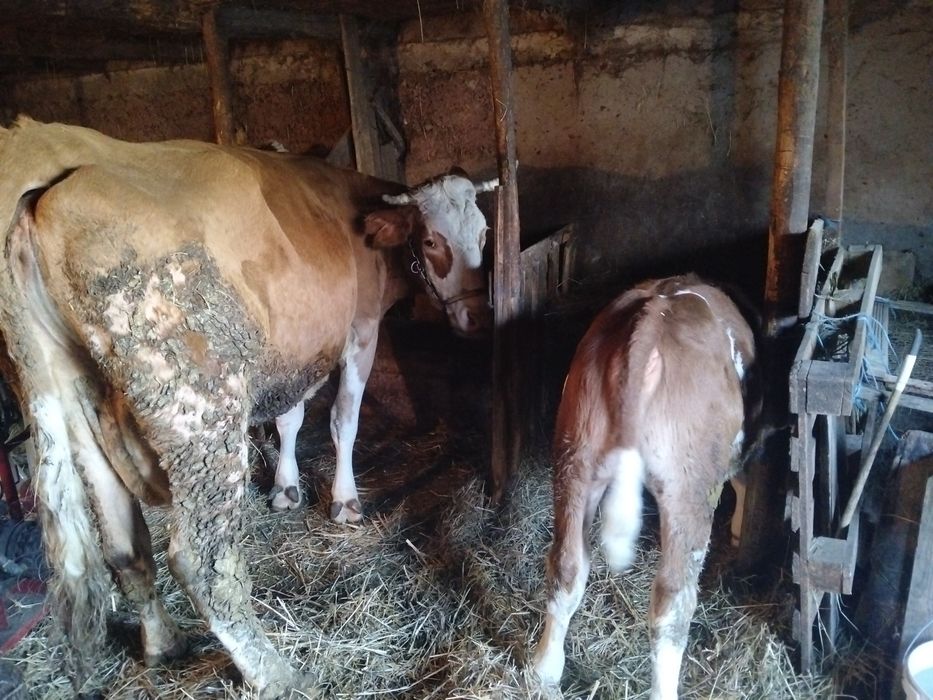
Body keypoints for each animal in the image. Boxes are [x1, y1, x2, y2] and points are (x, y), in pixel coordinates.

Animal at [267, 167, 493, 519]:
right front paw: (345, 499)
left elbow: (289, 417)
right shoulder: (359, 331)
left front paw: (285, 488)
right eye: (430, 241)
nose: (478, 316)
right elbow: (342, 419)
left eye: (484, 233)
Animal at [531, 275, 759, 700]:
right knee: (672, 600)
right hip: (689, 486)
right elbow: (743, 475)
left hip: (576, 453)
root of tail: (654, 314)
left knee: (567, 564)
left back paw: (544, 671)